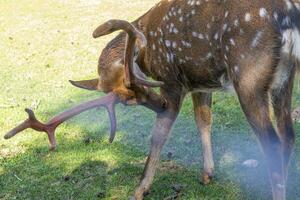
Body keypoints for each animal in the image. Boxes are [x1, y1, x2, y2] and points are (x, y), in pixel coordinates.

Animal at [4, 0, 300, 200]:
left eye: (133, 83)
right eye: (126, 101)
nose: (160, 106)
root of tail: (288, 19)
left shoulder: (172, 82)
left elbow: (158, 135)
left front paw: (140, 188)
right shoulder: (201, 83)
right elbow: (203, 120)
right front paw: (207, 174)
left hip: (249, 77)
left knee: (273, 141)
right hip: (284, 79)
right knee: (288, 135)